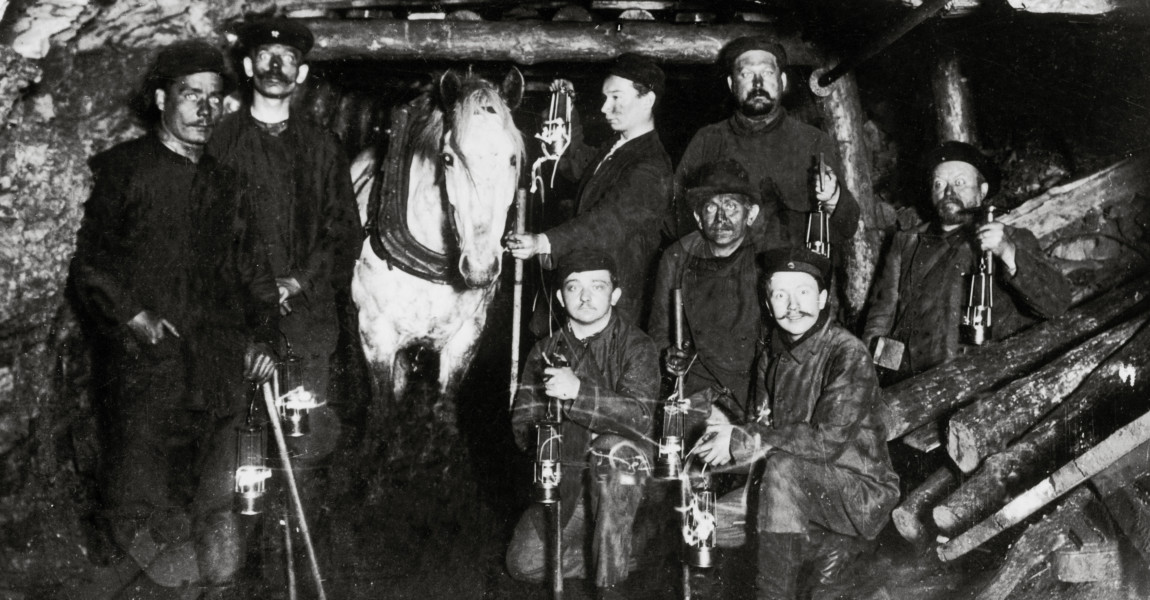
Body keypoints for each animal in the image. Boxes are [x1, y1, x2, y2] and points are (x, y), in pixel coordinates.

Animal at [349, 70, 526, 416]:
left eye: (512, 158)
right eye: (448, 159)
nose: (480, 268)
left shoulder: (465, 339)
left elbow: (444, 411)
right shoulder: (375, 337)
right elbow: (384, 412)